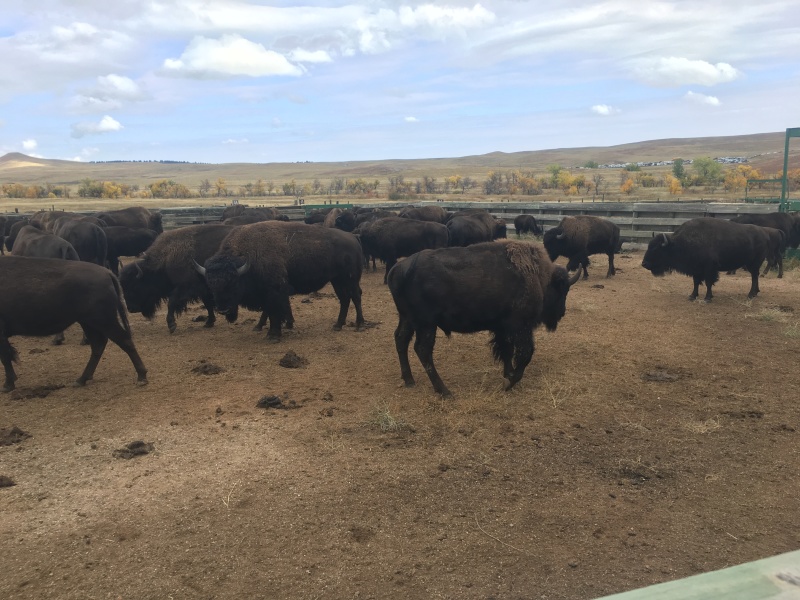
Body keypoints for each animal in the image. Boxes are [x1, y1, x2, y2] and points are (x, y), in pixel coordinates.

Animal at [0, 257, 148, 391]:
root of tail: (107, 274)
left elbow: (5, 356)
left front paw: (8, 385)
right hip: (88, 322)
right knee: (98, 345)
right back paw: (82, 379)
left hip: (103, 321)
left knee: (124, 340)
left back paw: (142, 377)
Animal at [388, 240, 580, 397]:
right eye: (563, 290)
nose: (562, 312)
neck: (537, 276)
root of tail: (397, 269)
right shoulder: (520, 327)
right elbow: (526, 353)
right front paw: (510, 382)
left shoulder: (503, 329)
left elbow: (507, 351)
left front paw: (507, 375)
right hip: (426, 324)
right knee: (422, 349)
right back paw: (444, 391)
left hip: (407, 319)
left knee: (401, 339)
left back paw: (409, 380)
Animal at [641, 217, 772, 302]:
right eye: (649, 246)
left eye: (656, 249)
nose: (644, 263)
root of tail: (765, 234)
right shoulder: (696, 269)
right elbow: (695, 282)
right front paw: (692, 296)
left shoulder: (709, 268)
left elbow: (709, 282)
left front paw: (708, 298)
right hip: (753, 265)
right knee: (755, 276)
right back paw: (755, 293)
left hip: (753, 264)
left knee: (754, 277)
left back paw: (750, 295)